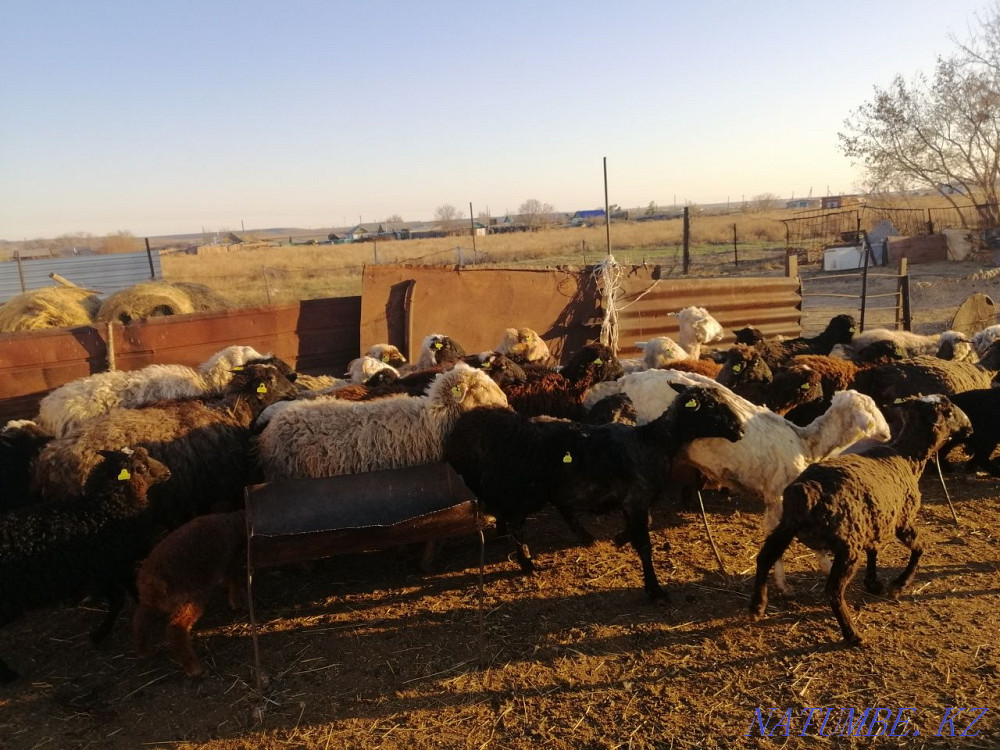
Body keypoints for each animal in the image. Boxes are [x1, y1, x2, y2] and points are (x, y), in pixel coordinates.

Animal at [0, 447, 171, 681]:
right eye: (141, 467)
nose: (168, 471)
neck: (101, 510)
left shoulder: (114, 568)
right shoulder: (108, 570)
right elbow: (121, 599)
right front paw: (99, 635)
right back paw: (8, 675)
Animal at [132, 510, 246, 678]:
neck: (234, 523)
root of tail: (154, 580)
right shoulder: (231, 560)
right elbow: (234, 580)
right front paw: (236, 602)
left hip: (149, 601)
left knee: (140, 620)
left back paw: (143, 651)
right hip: (190, 598)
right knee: (176, 629)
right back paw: (194, 669)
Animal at [444, 384, 745, 599]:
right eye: (712, 406)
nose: (740, 431)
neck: (653, 442)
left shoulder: (636, 503)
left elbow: (641, 527)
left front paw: (620, 539)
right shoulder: (636, 500)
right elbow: (644, 544)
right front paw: (654, 589)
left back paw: (580, 538)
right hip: (525, 489)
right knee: (517, 522)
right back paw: (527, 561)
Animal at [749, 395, 973, 645]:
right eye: (950, 411)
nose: (970, 427)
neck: (907, 456)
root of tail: (807, 492)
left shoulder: (872, 521)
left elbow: (873, 550)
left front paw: (873, 582)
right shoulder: (903, 522)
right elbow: (919, 547)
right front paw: (899, 584)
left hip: (785, 528)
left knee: (764, 559)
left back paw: (757, 607)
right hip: (846, 545)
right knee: (833, 590)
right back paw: (852, 633)